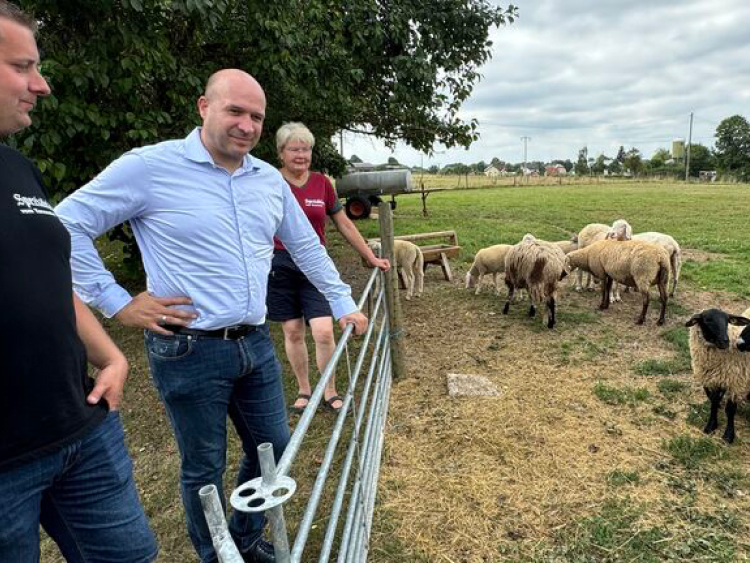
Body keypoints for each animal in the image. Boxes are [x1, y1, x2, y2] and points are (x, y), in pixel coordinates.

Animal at [688, 308, 750, 446]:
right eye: (707, 320)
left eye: (727, 321)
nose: (725, 341)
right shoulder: (710, 379)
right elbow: (713, 401)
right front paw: (711, 425)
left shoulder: (735, 382)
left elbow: (730, 410)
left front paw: (728, 435)